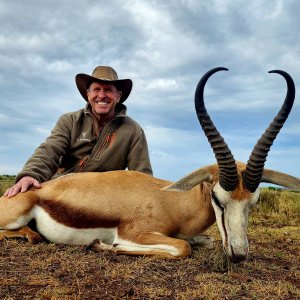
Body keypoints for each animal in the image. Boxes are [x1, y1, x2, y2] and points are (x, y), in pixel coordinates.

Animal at [0, 67, 298, 262]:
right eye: (218, 198)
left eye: (254, 201)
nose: (238, 255)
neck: (173, 202)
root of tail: (34, 191)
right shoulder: (135, 233)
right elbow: (182, 247)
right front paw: (103, 246)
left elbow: (206, 240)